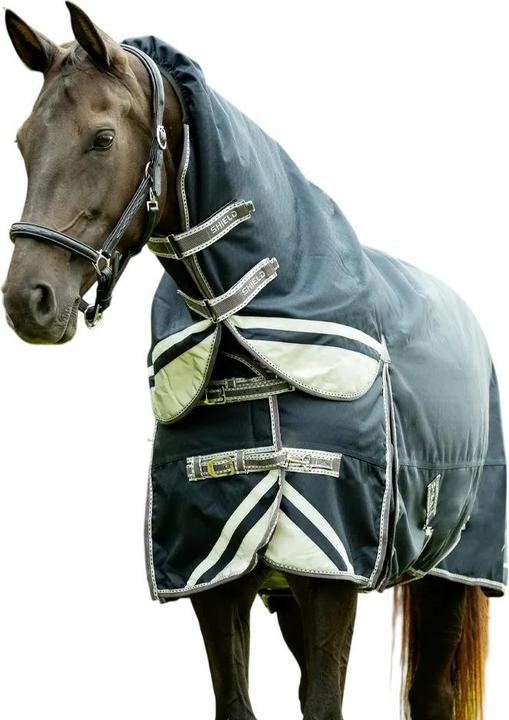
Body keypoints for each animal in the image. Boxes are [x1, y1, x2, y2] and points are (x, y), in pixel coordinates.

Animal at [2, 5, 501, 719]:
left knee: (431, 692)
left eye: (101, 137)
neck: (248, 343)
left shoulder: (332, 580)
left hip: (447, 575)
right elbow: (239, 701)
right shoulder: (218, 581)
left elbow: (323, 702)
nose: (29, 301)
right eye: (22, 143)